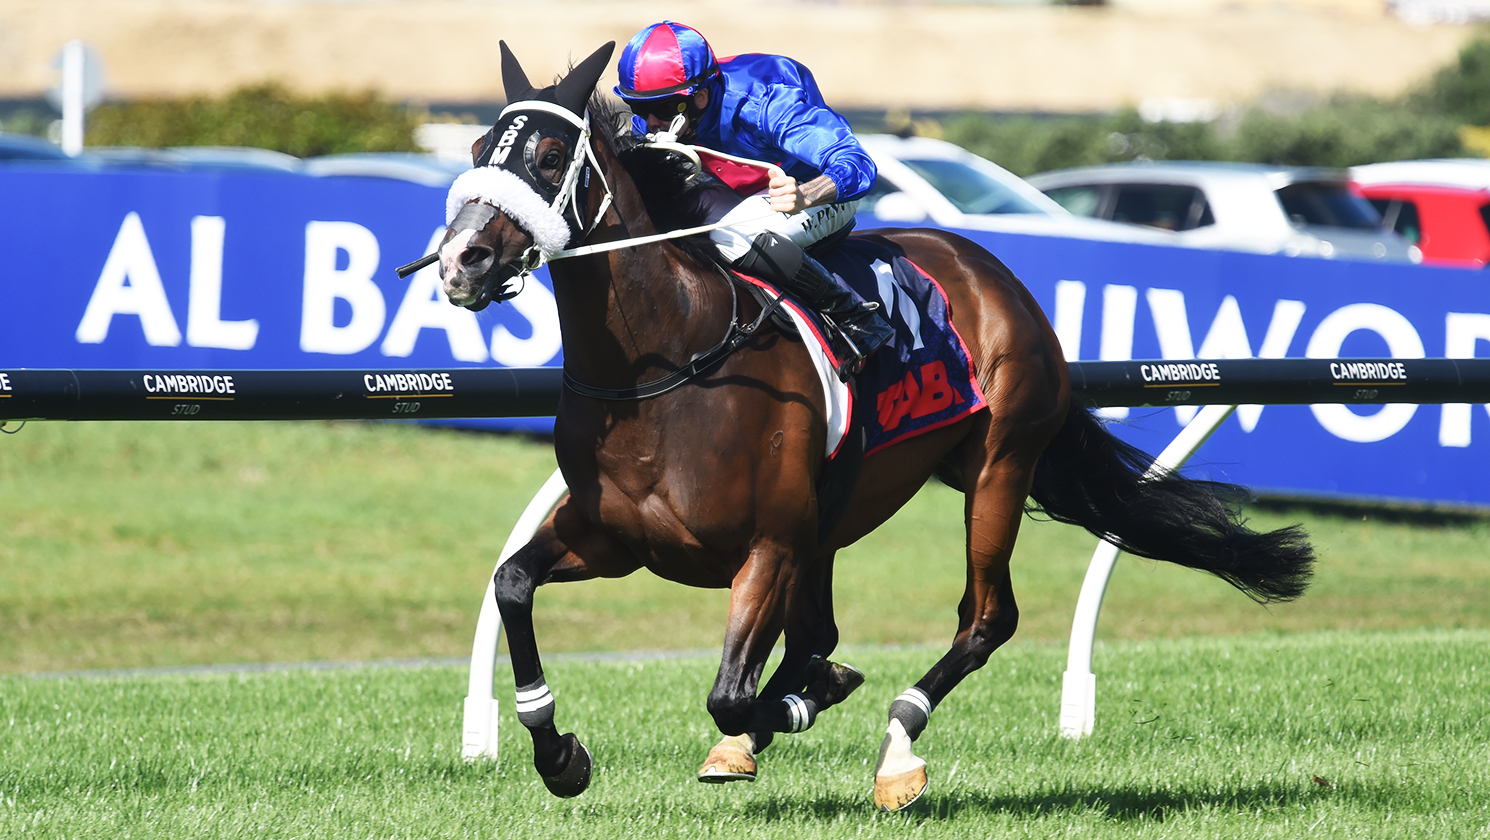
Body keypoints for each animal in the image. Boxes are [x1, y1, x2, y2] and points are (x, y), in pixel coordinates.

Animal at [432, 41, 1314, 811]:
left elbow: (731, 693)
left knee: (985, 618)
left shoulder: (768, 545)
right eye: (478, 145)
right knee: (822, 629)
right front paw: (559, 755)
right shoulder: (613, 537)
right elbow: (511, 584)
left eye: (550, 156)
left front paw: (801, 703)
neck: (663, 370)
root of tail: (997, 274)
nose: (461, 260)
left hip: (997, 465)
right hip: (846, 514)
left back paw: (896, 745)